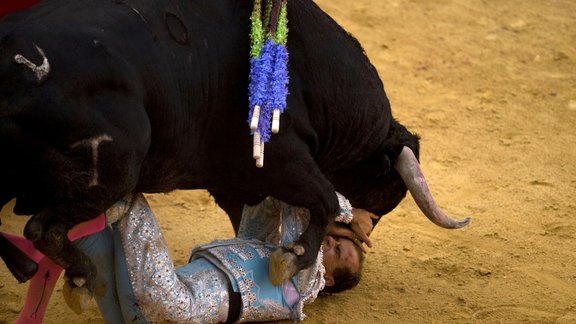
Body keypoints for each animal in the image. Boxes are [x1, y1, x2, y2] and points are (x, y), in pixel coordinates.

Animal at [0, 0, 468, 290]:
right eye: (389, 193)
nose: (359, 240)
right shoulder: (282, 159)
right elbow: (325, 198)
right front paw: (291, 260)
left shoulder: (237, 183)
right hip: (115, 166)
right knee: (40, 228)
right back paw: (80, 272)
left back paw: (29, 267)